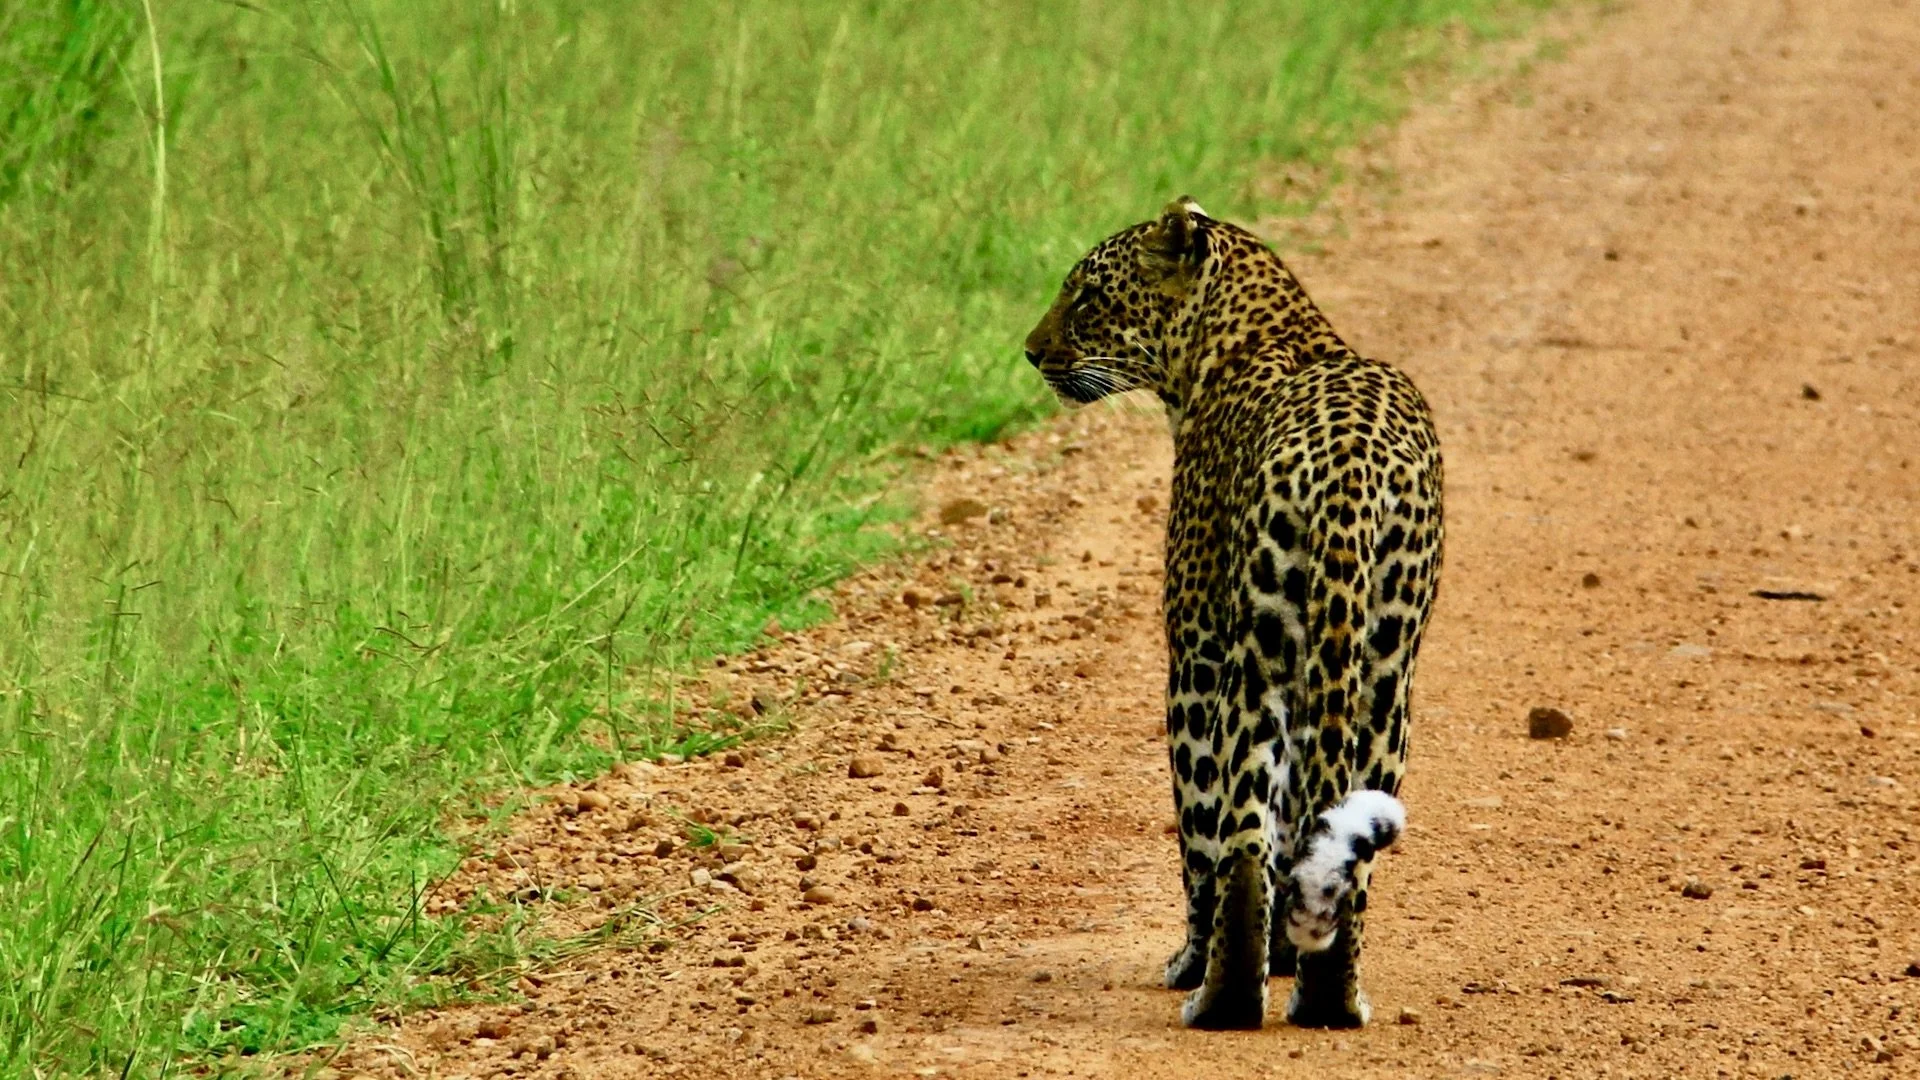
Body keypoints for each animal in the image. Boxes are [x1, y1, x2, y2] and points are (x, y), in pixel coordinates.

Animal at [1021, 197, 1444, 1030]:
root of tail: (1349, 472)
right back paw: (1331, 996)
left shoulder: (1193, 650)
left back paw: (1217, 994)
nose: (1030, 351)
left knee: (1239, 836)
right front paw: (1286, 950)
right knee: (1348, 841)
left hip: (1253, 660)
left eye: (1087, 295)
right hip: (1385, 669)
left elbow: (1199, 832)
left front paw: (1197, 956)